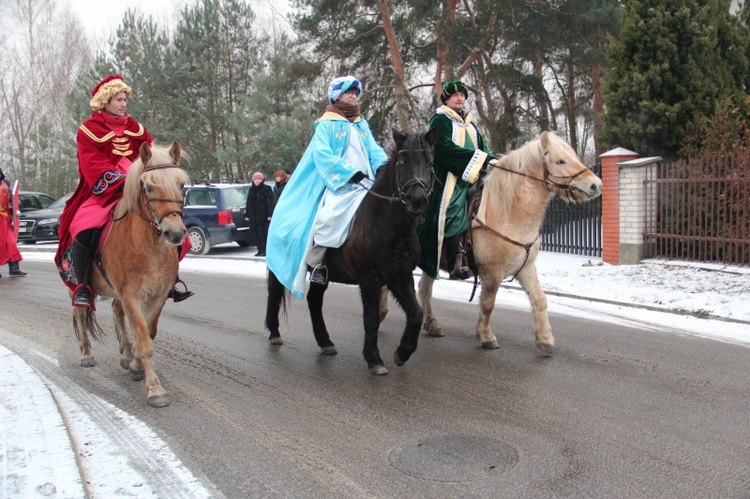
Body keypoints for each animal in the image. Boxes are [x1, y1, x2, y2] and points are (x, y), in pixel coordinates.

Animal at [72, 141, 191, 406]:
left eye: (181, 185)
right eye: (148, 186)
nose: (175, 233)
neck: (149, 247)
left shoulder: (157, 296)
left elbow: (148, 332)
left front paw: (136, 365)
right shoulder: (131, 296)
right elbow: (145, 341)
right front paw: (155, 390)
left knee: (116, 312)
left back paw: (126, 354)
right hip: (75, 285)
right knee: (80, 313)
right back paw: (85, 353)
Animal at [268, 129, 438, 376]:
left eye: (430, 163)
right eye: (402, 163)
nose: (417, 200)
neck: (389, 227)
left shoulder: (401, 277)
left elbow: (416, 314)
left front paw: (402, 353)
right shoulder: (369, 280)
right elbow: (371, 319)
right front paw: (374, 359)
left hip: (323, 274)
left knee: (314, 300)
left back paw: (325, 342)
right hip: (276, 267)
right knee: (274, 293)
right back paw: (274, 333)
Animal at [418, 131, 604, 354]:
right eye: (560, 161)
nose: (596, 185)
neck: (506, 213)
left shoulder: (526, 267)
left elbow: (539, 298)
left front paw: (545, 339)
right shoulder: (492, 272)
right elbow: (488, 303)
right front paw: (486, 336)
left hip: (430, 261)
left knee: (424, 289)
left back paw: (432, 325)